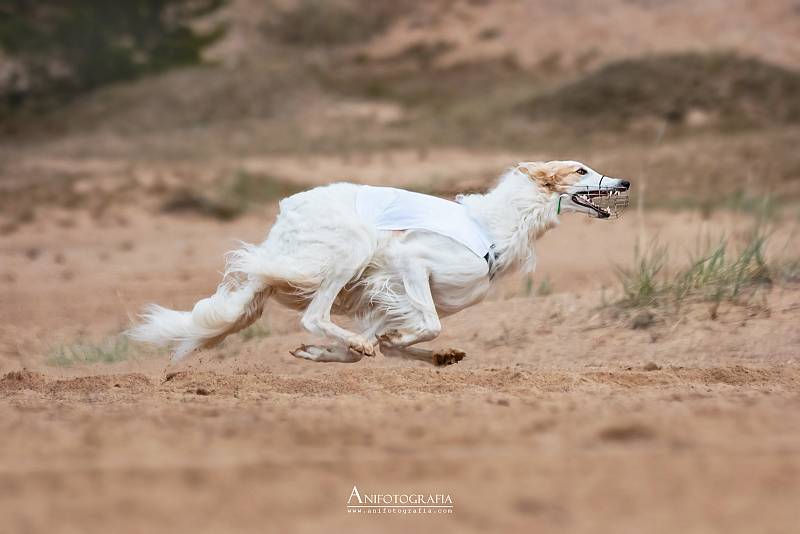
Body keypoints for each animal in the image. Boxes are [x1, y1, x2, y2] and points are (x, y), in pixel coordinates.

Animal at [130, 161, 632, 366]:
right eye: (581, 169)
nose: (624, 181)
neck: (493, 223)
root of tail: (286, 213)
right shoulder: (411, 263)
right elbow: (426, 326)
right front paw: (394, 342)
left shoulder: (389, 290)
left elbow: (392, 332)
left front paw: (335, 352)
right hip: (348, 251)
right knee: (315, 315)